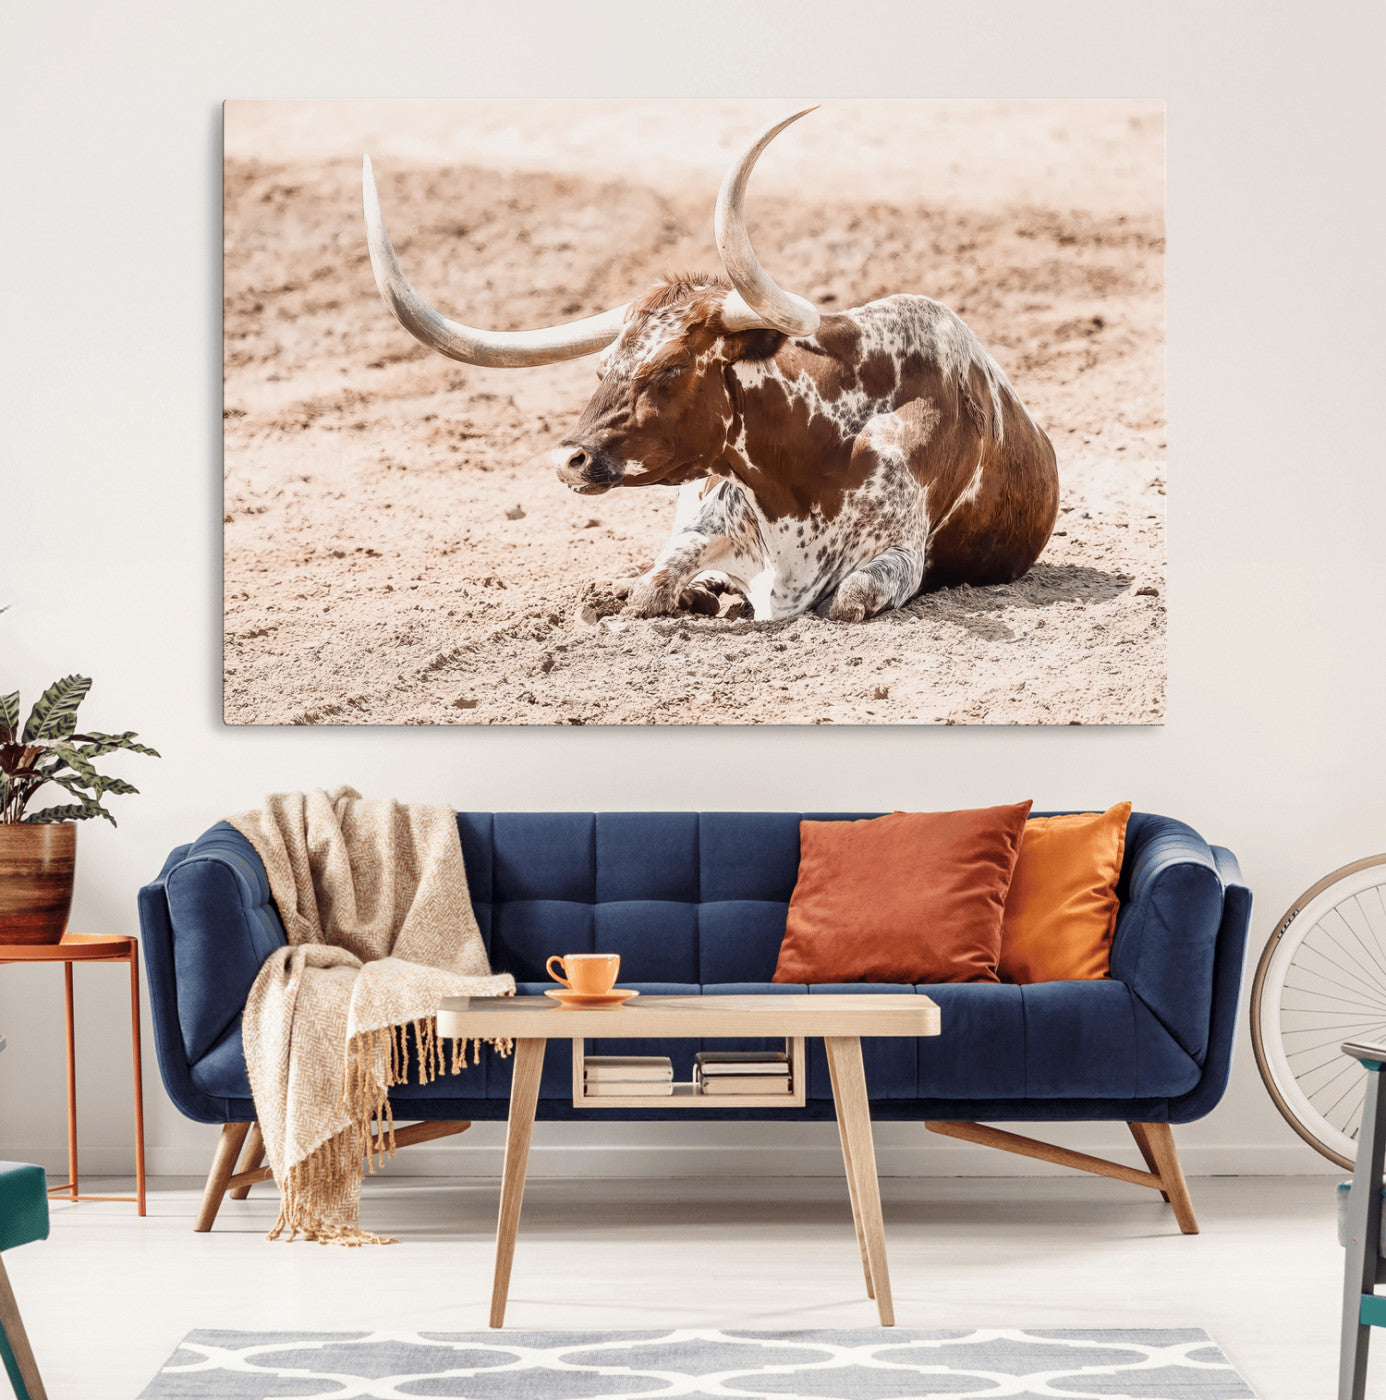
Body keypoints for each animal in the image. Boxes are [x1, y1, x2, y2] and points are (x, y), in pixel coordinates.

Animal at [362, 108, 1059, 622]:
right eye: (603, 367)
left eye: (671, 367)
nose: (569, 460)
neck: (810, 463)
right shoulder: (703, 522)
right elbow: (652, 587)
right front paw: (672, 592)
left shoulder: (898, 557)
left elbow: (846, 600)